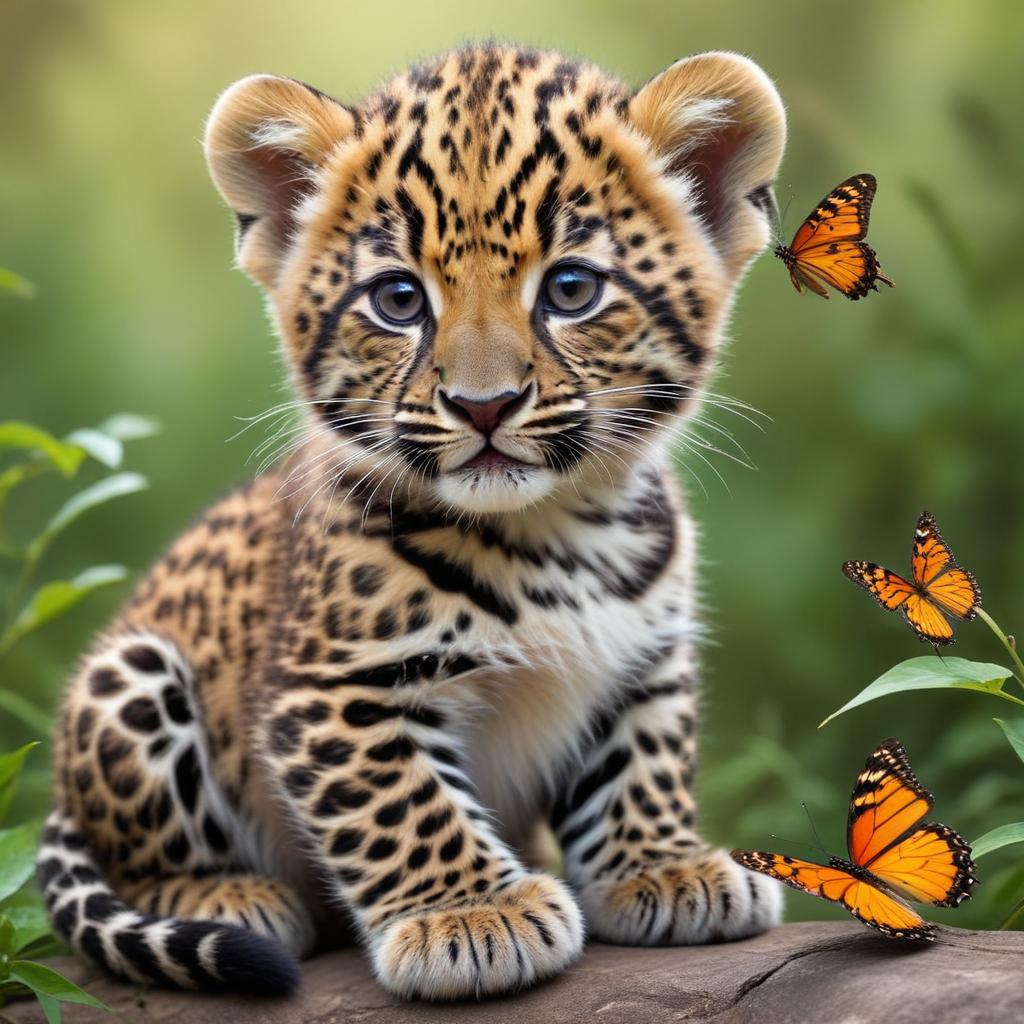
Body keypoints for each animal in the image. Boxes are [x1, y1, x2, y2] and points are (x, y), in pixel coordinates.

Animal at [39, 43, 787, 1000]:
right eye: (398, 300)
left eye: (570, 289)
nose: (484, 405)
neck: (556, 531)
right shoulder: (334, 688)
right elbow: (402, 802)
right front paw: (471, 915)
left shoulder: (644, 657)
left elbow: (644, 761)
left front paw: (665, 866)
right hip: (128, 674)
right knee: (143, 856)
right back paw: (228, 896)